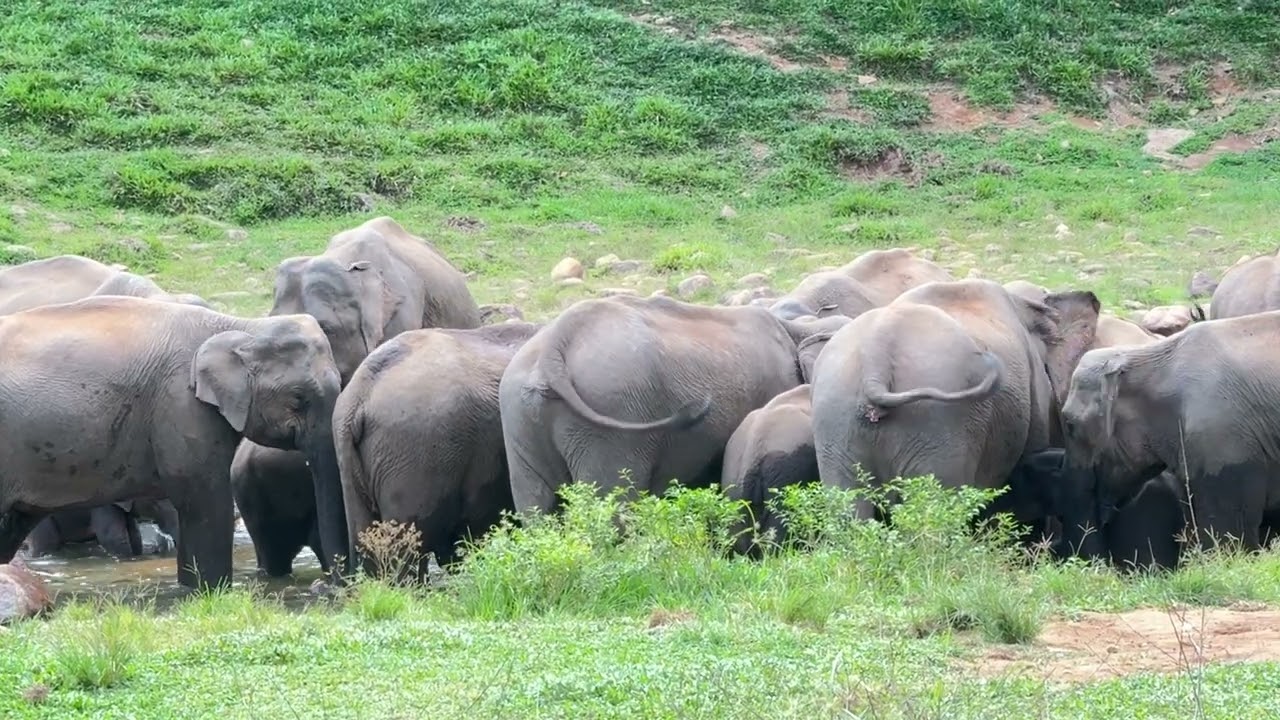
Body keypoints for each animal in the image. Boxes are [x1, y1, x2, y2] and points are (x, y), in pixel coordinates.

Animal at [0, 296, 345, 590]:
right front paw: (207, 591)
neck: (242, 327)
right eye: (299, 399)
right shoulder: (181, 403)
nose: (326, 585)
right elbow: (202, 497)